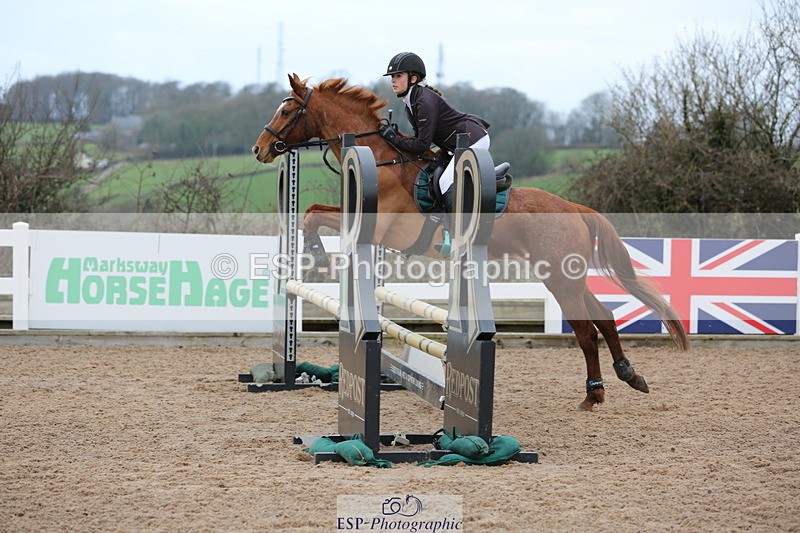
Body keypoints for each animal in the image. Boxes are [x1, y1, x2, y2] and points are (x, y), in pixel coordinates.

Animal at [252, 74, 690, 411]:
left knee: (586, 330)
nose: (259, 149)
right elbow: (311, 210)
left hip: (561, 279)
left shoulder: (379, 231)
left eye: (287, 111)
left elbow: (312, 214)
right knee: (603, 316)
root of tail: (573, 206)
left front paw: (317, 255)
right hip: (567, 277)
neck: (379, 160)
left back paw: (595, 393)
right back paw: (625, 377)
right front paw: (315, 254)